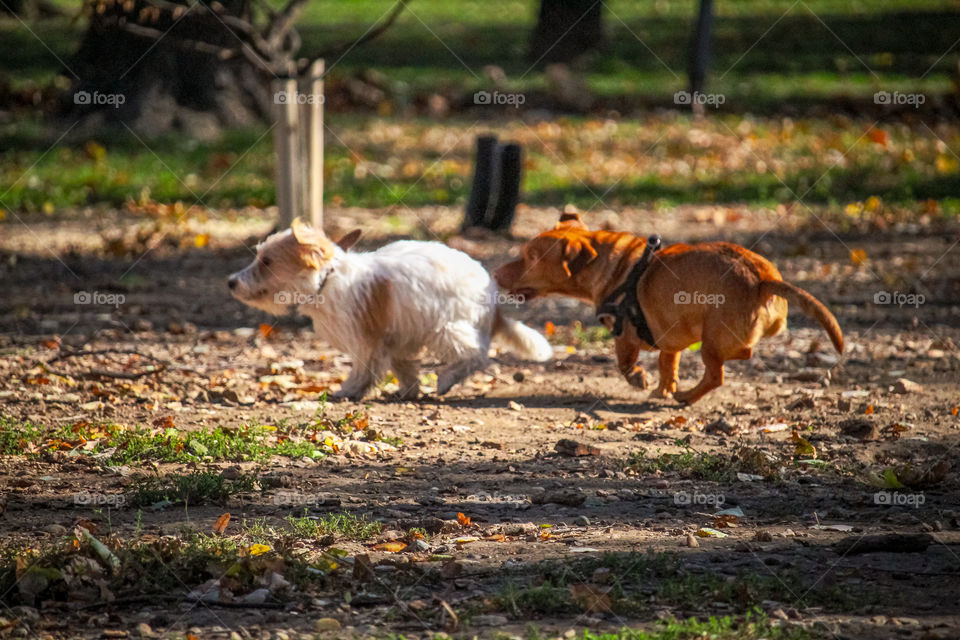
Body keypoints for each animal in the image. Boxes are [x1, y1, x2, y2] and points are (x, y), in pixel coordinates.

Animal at [227, 220, 556, 400]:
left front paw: (349, 390)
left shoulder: (366, 340)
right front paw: (408, 390)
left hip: (447, 329)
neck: (327, 280)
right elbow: (404, 367)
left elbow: (363, 369)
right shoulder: (395, 338)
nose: (231, 282)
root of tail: (492, 301)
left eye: (266, 262)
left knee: (475, 354)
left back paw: (447, 380)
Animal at [496, 215, 840, 404]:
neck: (620, 264)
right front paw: (662, 387)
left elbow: (625, 364)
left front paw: (640, 380)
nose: (497, 273)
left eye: (530, 257)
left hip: (712, 340)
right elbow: (667, 363)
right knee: (735, 358)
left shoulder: (625, 335)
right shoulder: (671, 335)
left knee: (719, 373)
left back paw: (686, 397)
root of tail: (763, 280)